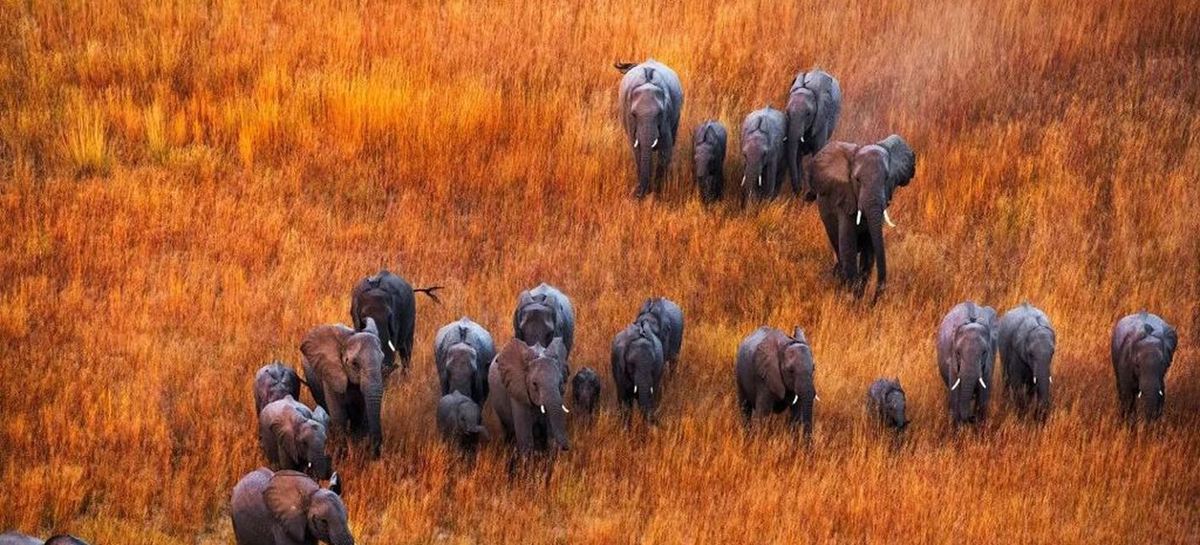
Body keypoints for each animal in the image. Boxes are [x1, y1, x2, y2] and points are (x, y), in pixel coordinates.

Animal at [300, 318, 386, 457]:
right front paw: (342, 455)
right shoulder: (330, 373)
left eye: (382, 361)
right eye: (355, 364)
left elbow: (361, 415)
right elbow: (338, 414)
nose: (376, 453)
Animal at [615, 59, 684, 198]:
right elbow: (637, 150)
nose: (637, 194)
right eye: (634, 114)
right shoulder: (630, 120)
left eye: (660, 113)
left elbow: (665, 150)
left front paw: (657, 193)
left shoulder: (666, 117)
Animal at [803, 134, 916, 300]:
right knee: (838, 248)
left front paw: (858, 297)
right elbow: (848, 246)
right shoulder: (845, 200)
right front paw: (852, 298)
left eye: (886, 178)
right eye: (857, 180)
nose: (874, 300)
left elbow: (870, 250)